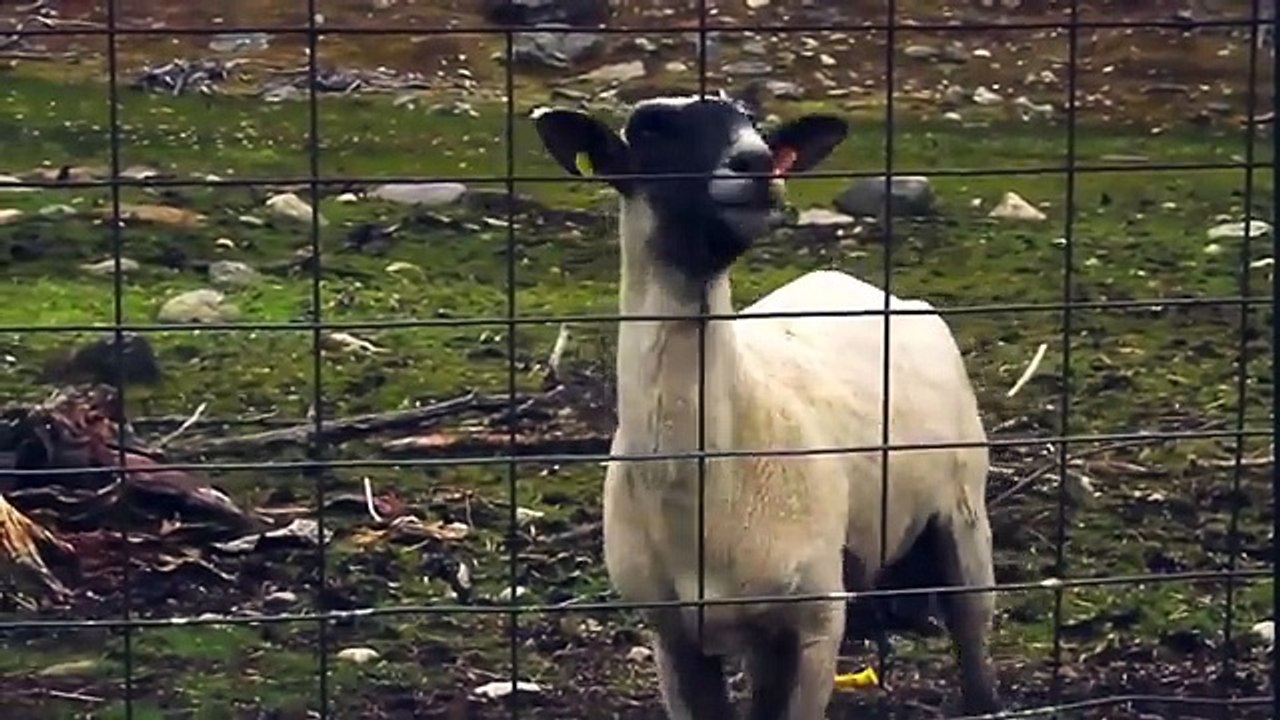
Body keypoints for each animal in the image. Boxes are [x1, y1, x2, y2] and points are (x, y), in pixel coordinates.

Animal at [532, 94, 1002, 720]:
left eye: (754, 125)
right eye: (650, 130)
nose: (755, 164)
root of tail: (858, 285)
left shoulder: (817, 619)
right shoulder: (671, 633)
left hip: (963, 514)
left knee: (973, 639)